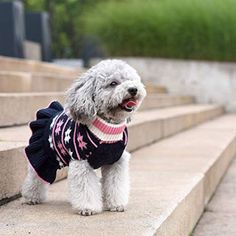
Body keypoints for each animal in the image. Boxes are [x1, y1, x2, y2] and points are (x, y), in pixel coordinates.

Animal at [20, 59, 146, 216]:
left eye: (131, 80)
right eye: (113, 83)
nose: (133, 89)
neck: (107, 129)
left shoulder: (116, 161)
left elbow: (115, 184)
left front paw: (116, 205)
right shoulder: (81, 161)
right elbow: (86, 186)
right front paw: (88, 208)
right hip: (44, 157)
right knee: (35, 177)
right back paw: (31, 197)